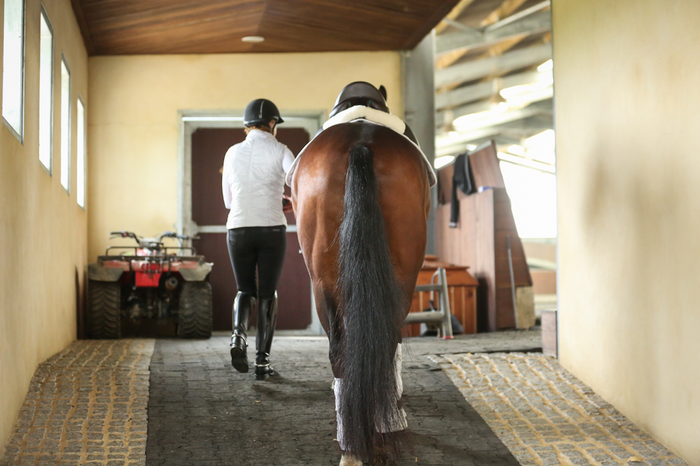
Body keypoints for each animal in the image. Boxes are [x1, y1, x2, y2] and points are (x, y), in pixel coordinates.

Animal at [289, 121, 432, 465]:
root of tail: (361, 144)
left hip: (324, 282)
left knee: (343, 350)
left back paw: (353, 443)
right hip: (399, 279)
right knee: (382, 341)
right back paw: (380, 427)